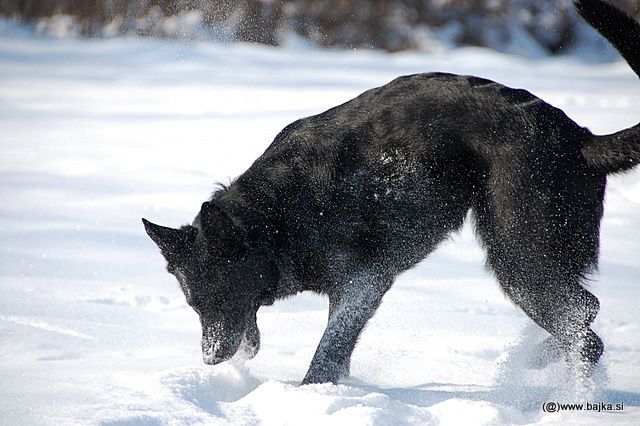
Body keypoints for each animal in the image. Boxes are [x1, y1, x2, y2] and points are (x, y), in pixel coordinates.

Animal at [145, 0, 640, 384]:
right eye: (195, 306)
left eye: (222, 297)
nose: (210, 360)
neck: (275, 214)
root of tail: (581, 139)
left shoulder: (362, 285)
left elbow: (328, 352)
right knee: (584, 321)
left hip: (519, 257)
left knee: (584, 322)